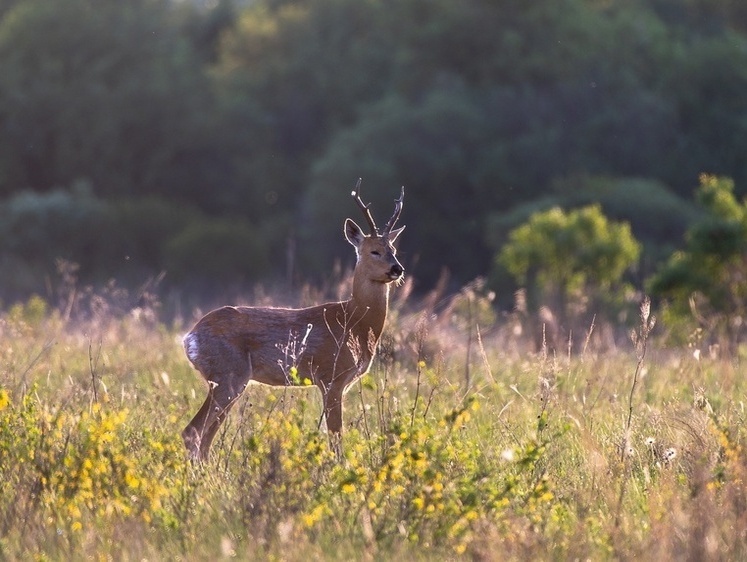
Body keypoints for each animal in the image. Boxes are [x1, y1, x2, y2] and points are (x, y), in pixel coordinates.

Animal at [183, 182, 406, 458]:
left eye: (393, 250)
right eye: (374, 251)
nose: (397, 269)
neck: (354, 321)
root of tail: (189, 338)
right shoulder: (330, 377)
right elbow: (336, 439)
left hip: (228, 380)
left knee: (204, 437)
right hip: (228, 374)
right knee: (193, 432)